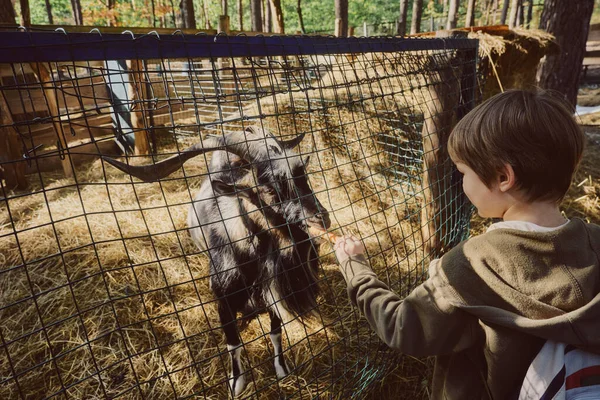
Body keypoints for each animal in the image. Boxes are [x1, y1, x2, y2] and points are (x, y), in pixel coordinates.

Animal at [102, 126, 328, 396]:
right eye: (269, 189)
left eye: (304, 179)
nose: (321, 219)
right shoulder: (224, 300)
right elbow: (233, 343)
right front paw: (236, 384)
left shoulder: (273, 295)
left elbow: (275, 332)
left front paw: (282, 369)